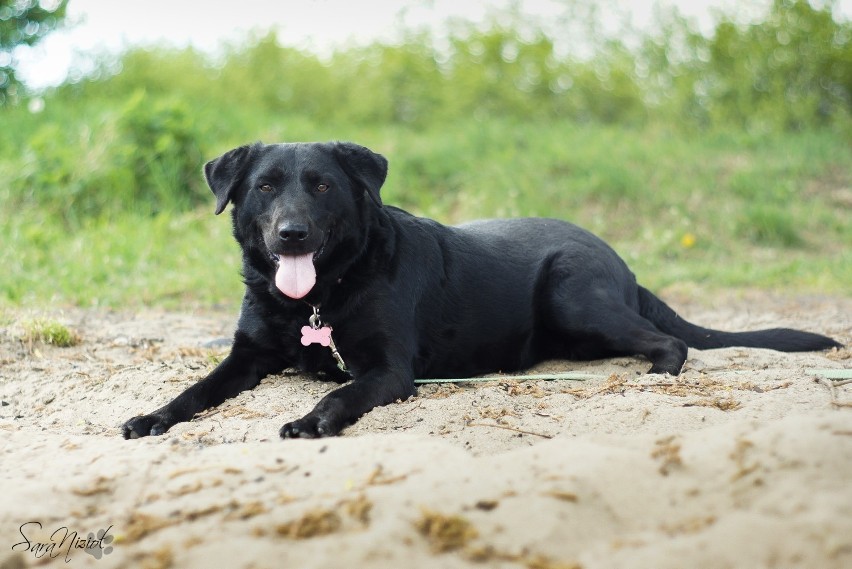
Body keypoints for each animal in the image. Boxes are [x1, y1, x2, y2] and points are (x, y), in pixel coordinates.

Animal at [120, 143, 840, 440]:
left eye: (321, 185)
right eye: (265, 187)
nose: (291, 234)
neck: (316, 298)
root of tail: (619, 260)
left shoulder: (387, 368)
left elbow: (341, 391)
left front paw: (312, 419)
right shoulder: (247, 355)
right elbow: (195, 390)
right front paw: (153, 415)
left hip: (572, 295)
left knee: (669, 341)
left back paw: (652, 370)